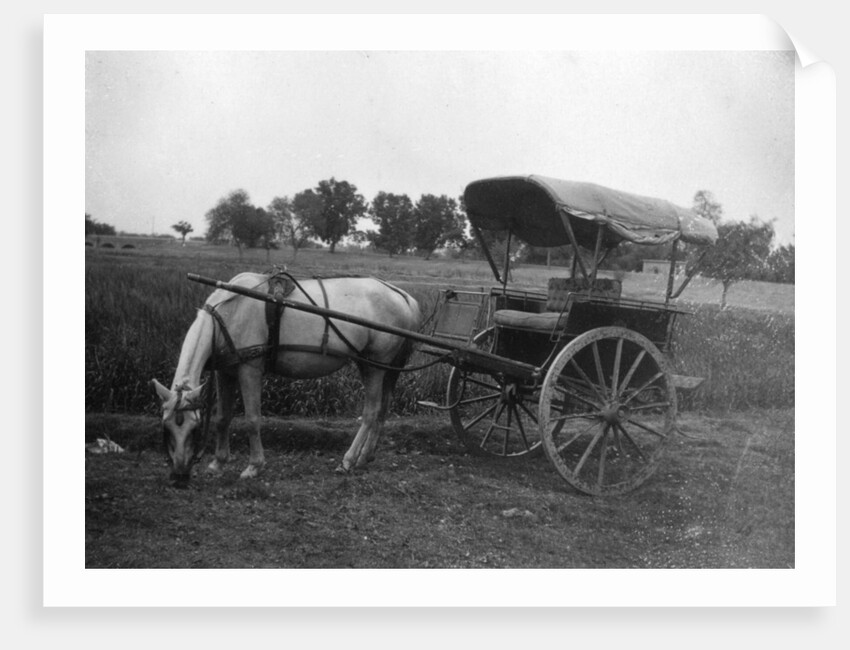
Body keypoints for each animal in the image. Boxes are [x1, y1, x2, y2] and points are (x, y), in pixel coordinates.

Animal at [151, 271, 421, 488]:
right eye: (166, 427)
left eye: (194, 429)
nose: (178, 478)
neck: (228, 313)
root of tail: (401, 295)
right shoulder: (225, 371)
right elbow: (222, 418)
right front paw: (218, 463)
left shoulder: (250, 369)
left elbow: (252, 419)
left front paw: (253, 467)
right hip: (380, 367)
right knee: (382, 410)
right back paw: (365, 457)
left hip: (375, 365)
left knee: (371, 412)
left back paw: (348, 460)